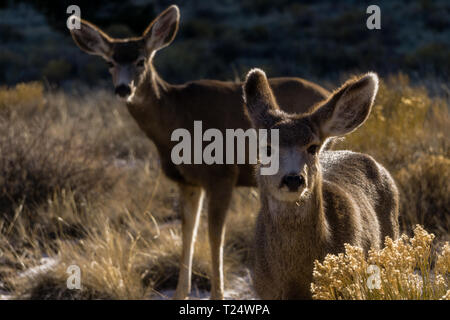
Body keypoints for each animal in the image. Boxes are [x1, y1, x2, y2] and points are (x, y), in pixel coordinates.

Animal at [71, 5, 330, 300]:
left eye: (141, 61)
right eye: (110, 63)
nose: (123, 88)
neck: (176, 118)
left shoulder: (222, 174)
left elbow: (215, 234)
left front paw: (218, 294)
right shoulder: (188, 181)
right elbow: (187, 232)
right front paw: (179, 294)